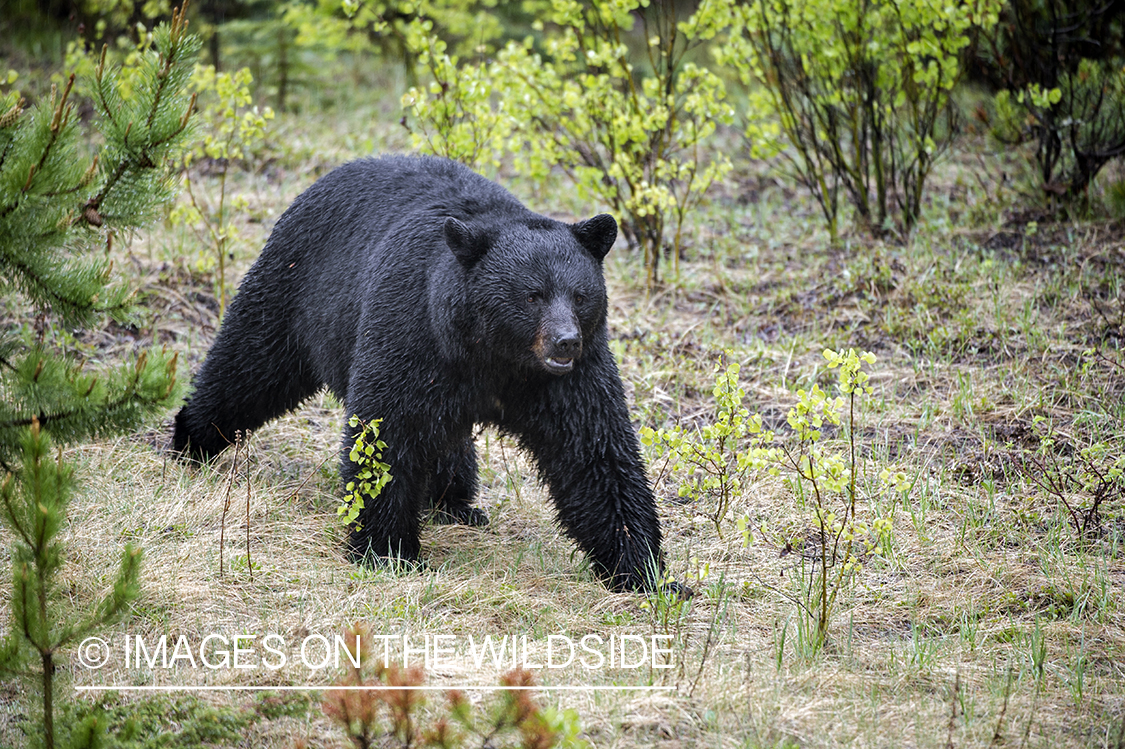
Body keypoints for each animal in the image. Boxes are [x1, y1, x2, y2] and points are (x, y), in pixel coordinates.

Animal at [172, 156, 670, 589]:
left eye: (581, 295)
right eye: (533, 295)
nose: (565, 341)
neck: (495, 357)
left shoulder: (569, 380)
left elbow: (594, 453)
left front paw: (644, 571)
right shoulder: (413, 334)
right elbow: (386, 434)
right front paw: (388, 551)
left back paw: (456, 504)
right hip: (294, 289)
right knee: (248, 365)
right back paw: (191, 440)